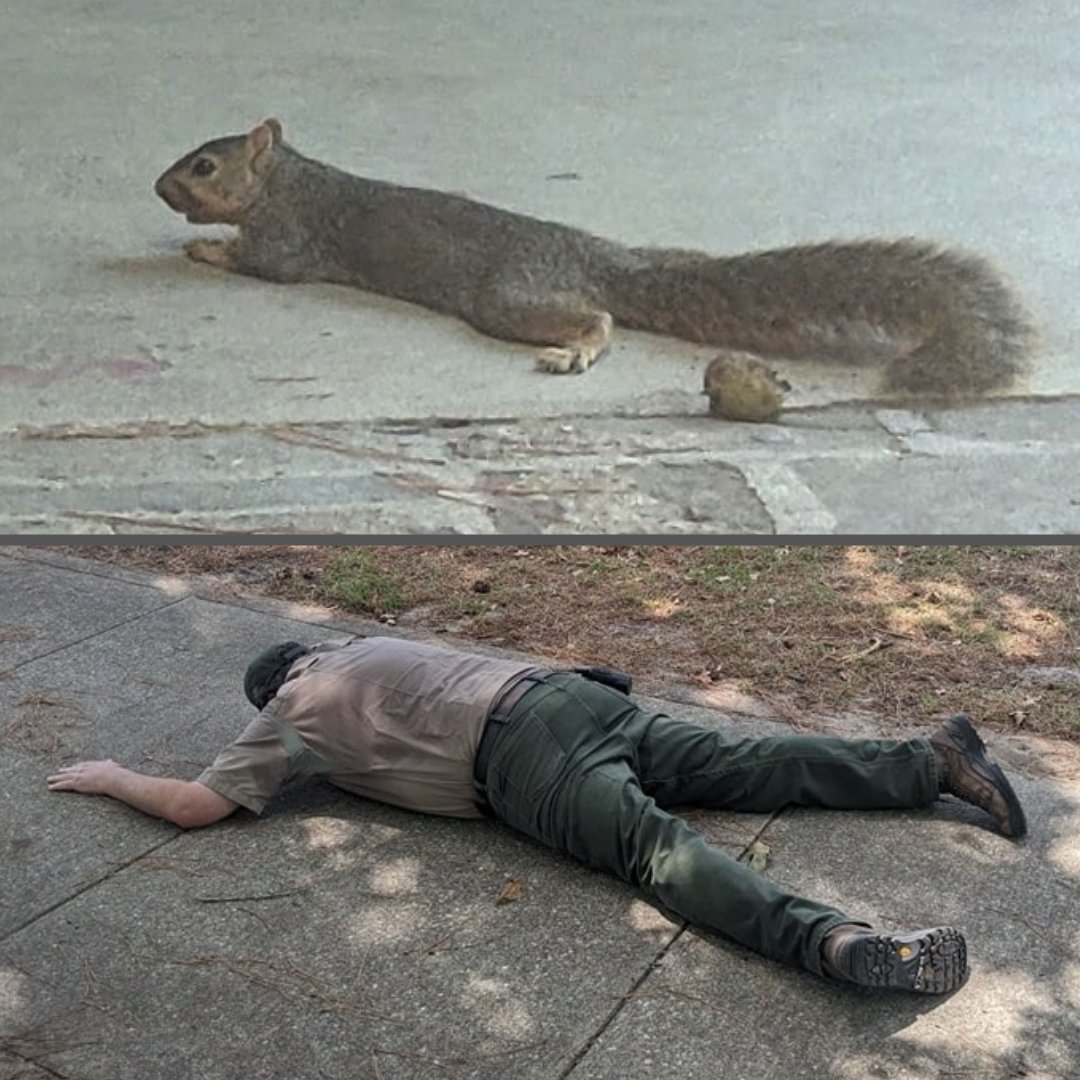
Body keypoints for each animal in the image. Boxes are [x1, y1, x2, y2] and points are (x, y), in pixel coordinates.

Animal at [156, 118, 1032, 412]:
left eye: (204, 166)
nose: (160, 188)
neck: (290, 179)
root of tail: (605, 262)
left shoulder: (291, 239)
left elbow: (261, 263)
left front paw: (203, 246)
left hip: (508, 297)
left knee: (599, 316)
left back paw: (578, 346)